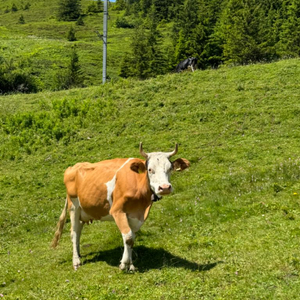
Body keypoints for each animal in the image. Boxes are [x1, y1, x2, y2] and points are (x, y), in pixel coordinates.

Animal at [50, 142, 189, 270]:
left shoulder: (136, 215)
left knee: (78, 231)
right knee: (74, 232)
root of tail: (74, 166)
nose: (164, 188)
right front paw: (124, 264)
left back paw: (78, 254)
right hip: (74, 206)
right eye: (150, 169)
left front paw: (131, 265)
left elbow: (132, 238)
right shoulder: (117, 211)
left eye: (170, 168)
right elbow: (128, 236)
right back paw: (76, 261)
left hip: (84, 211)